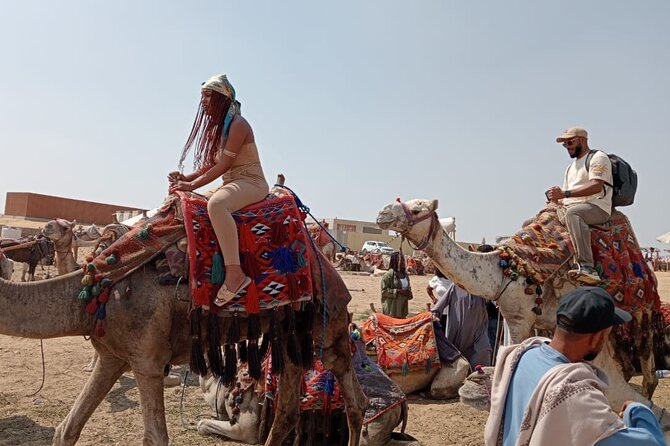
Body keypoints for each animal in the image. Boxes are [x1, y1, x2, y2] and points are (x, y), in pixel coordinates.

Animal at [0, 220, 368, 446]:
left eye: (58, 226)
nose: (40, 236)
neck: (95, 290)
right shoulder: (113, 356)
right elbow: (65, 430)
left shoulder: (148, 360)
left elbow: (155, 438)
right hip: (290, 336)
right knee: (293, 410)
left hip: (328, 326)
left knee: (350, 394)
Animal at [376, 198, 670, 434]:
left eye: (417, 209)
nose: (382, 213)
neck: (502, 270)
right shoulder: (515, 316)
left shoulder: (521, 318)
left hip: (640, 308)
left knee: (644, 354)